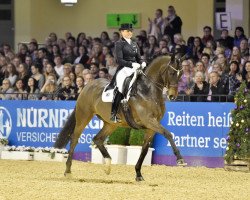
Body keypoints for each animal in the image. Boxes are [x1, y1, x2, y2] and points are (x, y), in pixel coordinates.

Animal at [55, 54, 188, 181]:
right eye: (171, 73)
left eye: (181, 74)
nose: (172, 96)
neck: (147, 91)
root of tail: (88, 86)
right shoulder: (149, 121)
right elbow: (168, 134)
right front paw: (180, 159)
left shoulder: (151, 127)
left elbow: (145, 149)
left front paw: (138, 174)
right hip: (84, 116)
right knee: (74, 139)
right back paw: (68, 171)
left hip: (111, 124)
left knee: (98, 139)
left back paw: (108, 165)